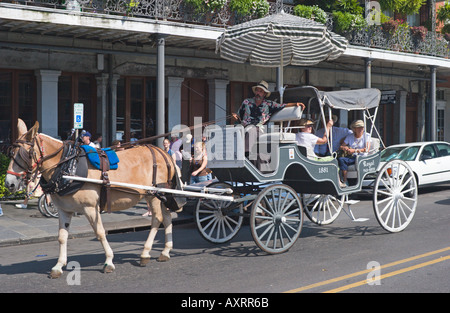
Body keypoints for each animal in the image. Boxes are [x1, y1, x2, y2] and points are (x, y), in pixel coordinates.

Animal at [5, 118, 180, 276]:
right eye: (11, 153)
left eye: (26, 154)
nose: (9, 183)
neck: (68, 167)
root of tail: (162, 152)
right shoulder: (64, 209)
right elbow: (62, 236)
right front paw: (59, 265)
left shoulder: (90, 208)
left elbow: (100, 232)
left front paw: (108, 261)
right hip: (161, 195)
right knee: (167, 217)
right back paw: (165, 251)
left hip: (153, 195)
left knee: (157, 219)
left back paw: (145, 253)